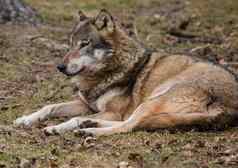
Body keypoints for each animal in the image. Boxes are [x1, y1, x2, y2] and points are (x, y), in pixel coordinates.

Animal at [13, 9, 238, 136]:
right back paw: (90, 123)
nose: (60, 67)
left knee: (129, 126)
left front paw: (56, 127)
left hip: (152, 100)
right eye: (69, 44)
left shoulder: (113, 111)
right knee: (129, 123)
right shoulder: (85, 104)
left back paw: (88, 130)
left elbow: (73, 119)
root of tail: (229, 108)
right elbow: (49, 107)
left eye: (84, 44)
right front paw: (25, 119)